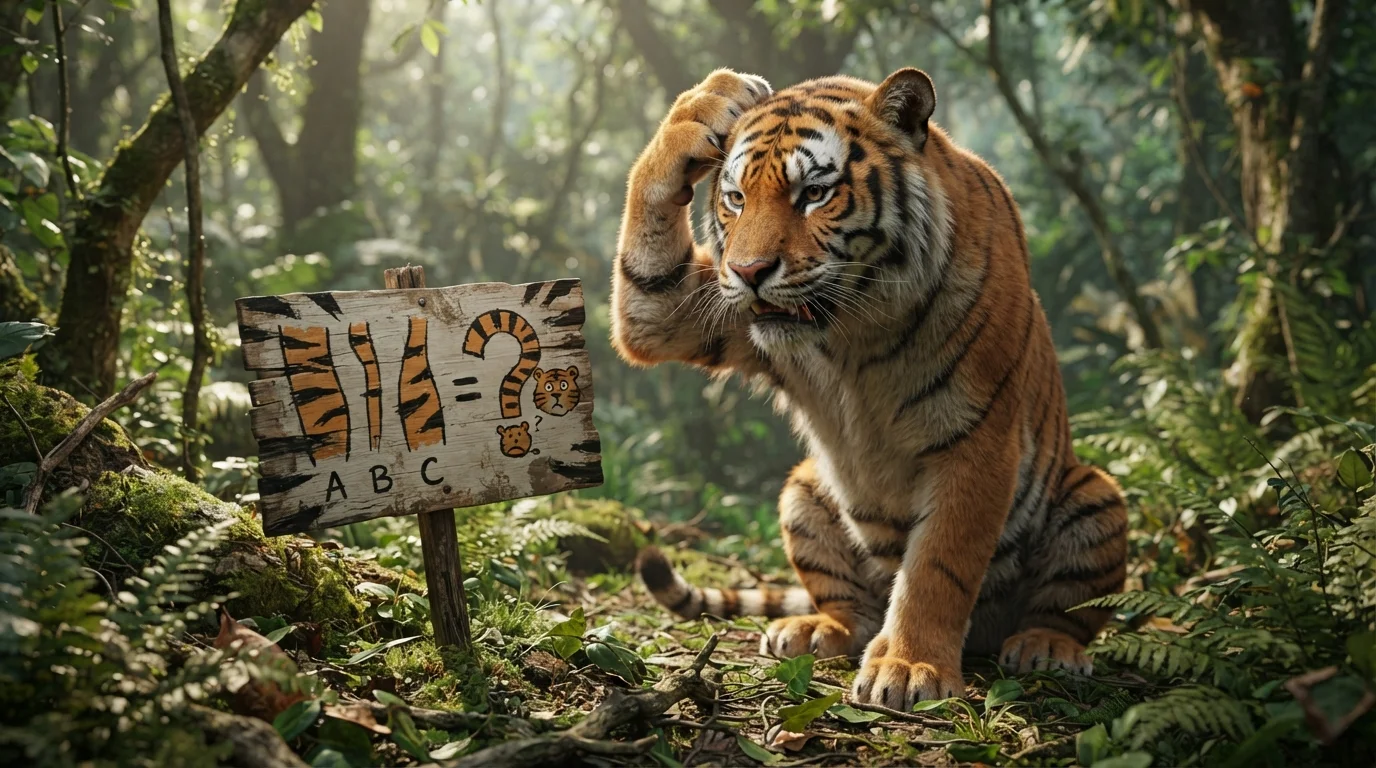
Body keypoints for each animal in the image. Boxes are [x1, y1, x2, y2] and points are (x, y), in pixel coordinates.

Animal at [611, 67, 1128, 710]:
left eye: (813, 193)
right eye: (735, 199)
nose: (749, 272)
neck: (855, 327)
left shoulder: (979, 440)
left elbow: (937, 565)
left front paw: (909, 666)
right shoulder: (681, 313)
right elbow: (648, 282)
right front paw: (710, 102)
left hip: (1096, 498)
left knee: (1064, 611)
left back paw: (1046, 646)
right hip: (802, 490)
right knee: (850, 610)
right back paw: (813, 630)